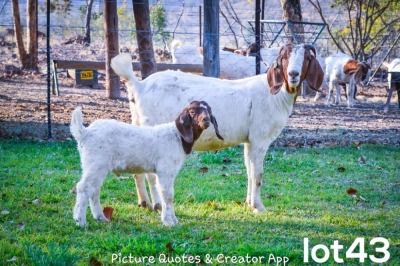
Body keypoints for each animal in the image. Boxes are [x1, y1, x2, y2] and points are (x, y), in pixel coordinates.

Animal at [71, 101, 222, 227]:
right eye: (192, 112)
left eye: (209, 111)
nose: (206, 120)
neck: (177, 136)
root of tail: (85, 133)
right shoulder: (165, 170)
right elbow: (167, 194)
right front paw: (168, 221)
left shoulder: (170, 172)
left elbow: (170, 195)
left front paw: (173, 219)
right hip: (96, 163)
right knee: (84, 188)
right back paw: (80, 221)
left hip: (96, 166)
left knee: (94, 189)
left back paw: (100, 217)